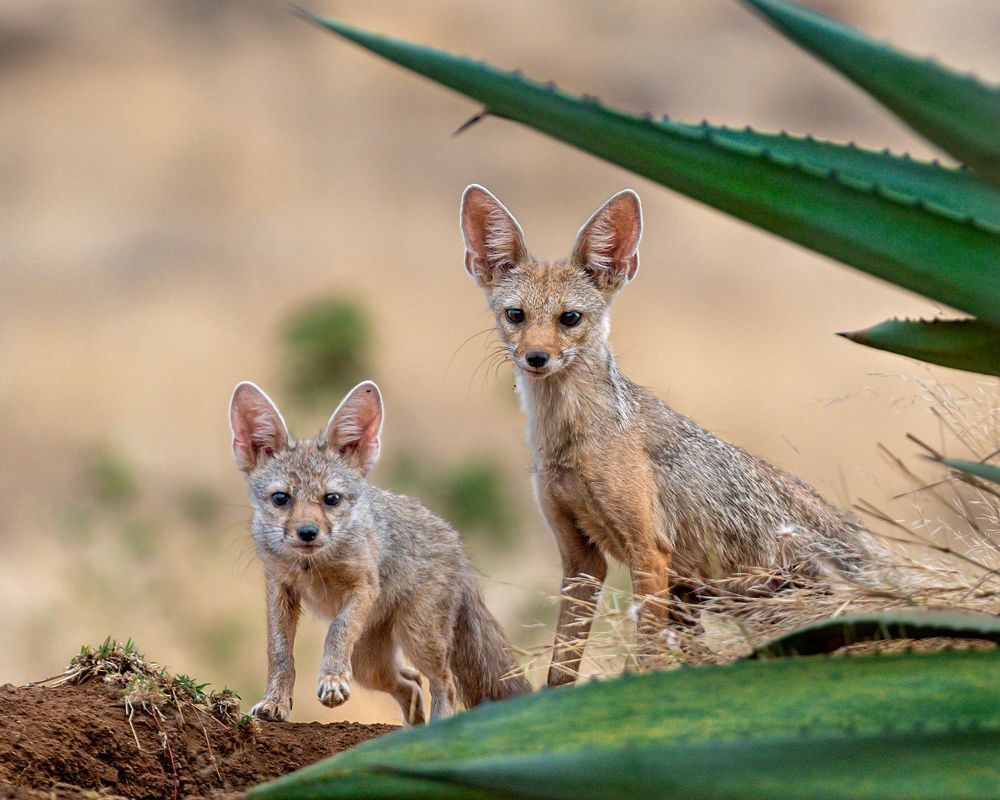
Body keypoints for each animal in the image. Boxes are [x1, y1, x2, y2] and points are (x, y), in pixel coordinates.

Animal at [229, 379, 531, 723]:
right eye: (281, 499)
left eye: (331, 499)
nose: (307, 533)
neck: (312, 566)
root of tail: (455, 540)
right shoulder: (280, 589)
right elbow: (279, 651)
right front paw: (275, 702)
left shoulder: (363, 587)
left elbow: (337, 631)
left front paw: (332, 680)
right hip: (369, 665)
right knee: (411, 682)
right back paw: (412, 729)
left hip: (417, 637)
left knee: (444, 681)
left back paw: (435, 726)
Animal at [459, 184, 877, 687]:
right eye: (516, 315)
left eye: (570, 318)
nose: (536, 357)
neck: (573, 443)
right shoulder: (580, 557)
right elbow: (561, 669)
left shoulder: (649, 553)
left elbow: (646, 658)